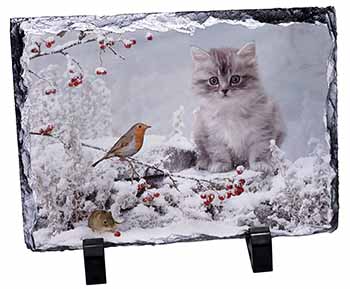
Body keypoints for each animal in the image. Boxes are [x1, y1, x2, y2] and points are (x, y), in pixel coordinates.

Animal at [191, 42, 284, 172]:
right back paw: (203, 162)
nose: (224, 90)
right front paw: (221, 164)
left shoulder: (262, 129)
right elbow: (218, 151)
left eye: (235, 79)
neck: (230, 109)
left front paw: (261, 164)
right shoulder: (212, 133)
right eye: (213, 81)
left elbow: (260, 149)